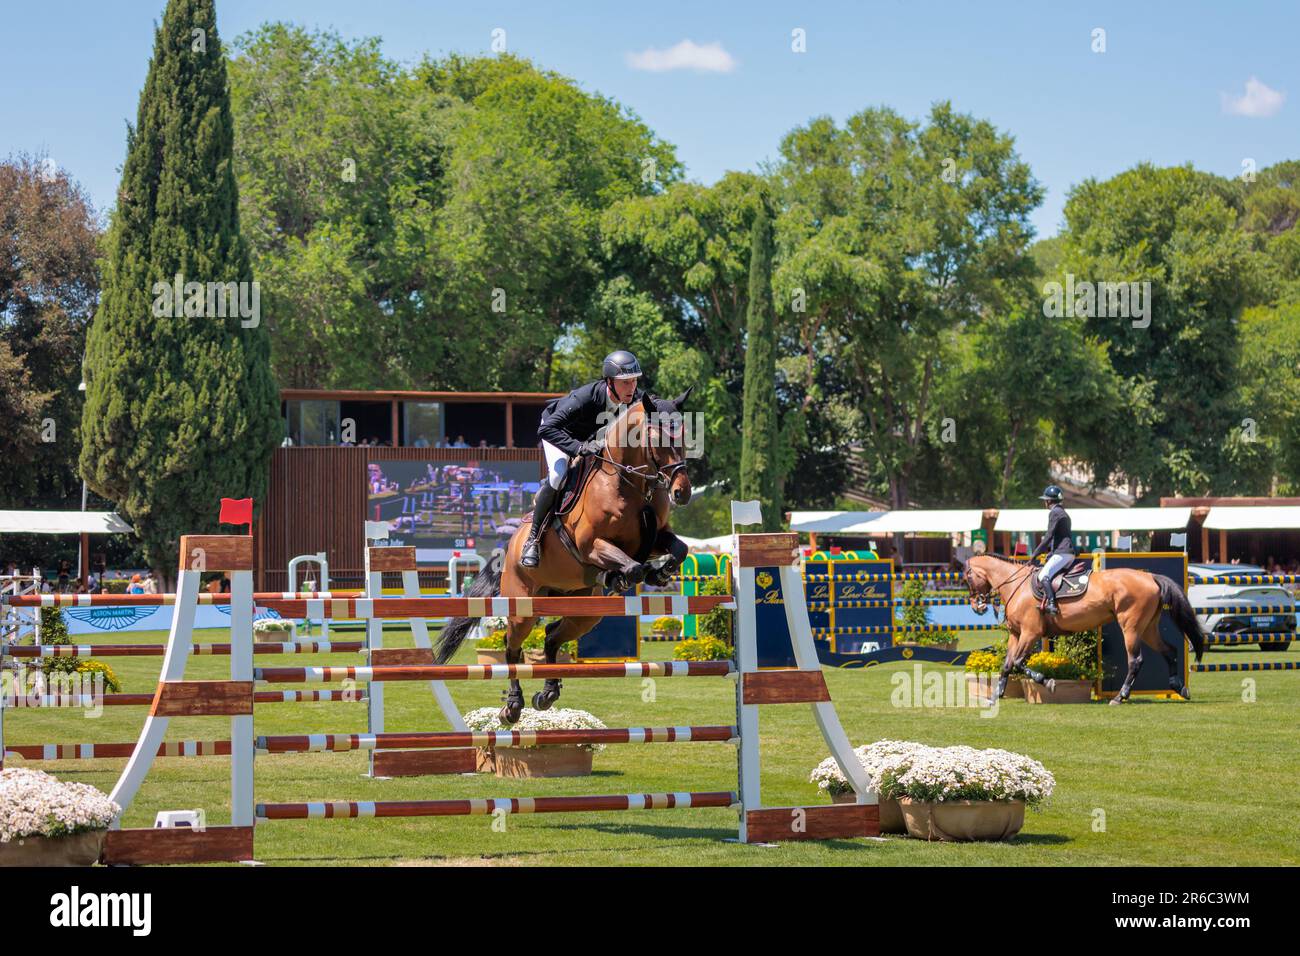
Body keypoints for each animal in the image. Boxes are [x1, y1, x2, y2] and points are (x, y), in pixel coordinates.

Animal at [434, 390, 702, 723]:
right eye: (658, 438)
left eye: (685, 437)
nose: (682, 493)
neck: (628, 483)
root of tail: (510, 548)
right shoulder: (591, 544)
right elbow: (632, 567)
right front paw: (623, 576)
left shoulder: (655, 538)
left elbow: (679, 549)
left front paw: (659, 573)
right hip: (523, 605)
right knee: (512, 647)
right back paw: (513, 705)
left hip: (584, 610)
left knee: (551, 635)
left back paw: (547, 693)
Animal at [961, 554, 1201, 702]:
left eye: (967, 578)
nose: (976, 606)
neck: (1015, 585)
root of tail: (1150, 576)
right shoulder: (1016, 634)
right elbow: (1007, 665)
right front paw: (996, 695)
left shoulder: (1030, 633)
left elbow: (1019, 663)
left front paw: (1048, 682)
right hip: (1148, 627)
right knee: (1169, 650)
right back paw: (1179, 687)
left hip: (1131, 627)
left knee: (1136, 660)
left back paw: (1120, 696)